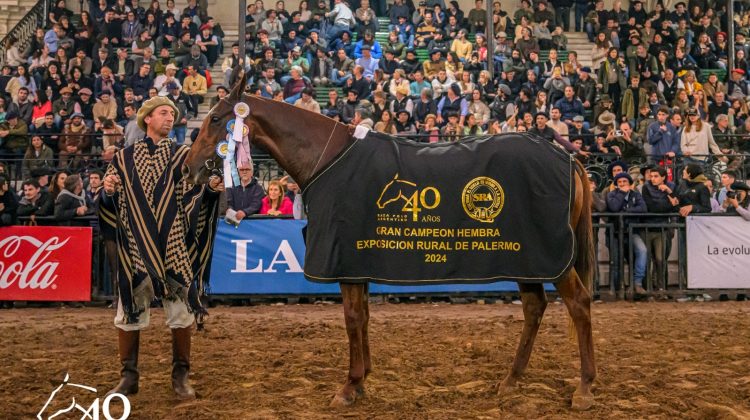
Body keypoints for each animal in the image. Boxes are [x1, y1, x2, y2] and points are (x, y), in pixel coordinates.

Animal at [184, 75, 600, 410]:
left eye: (216, 118)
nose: (190, 167)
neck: (326, 158)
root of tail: (568, 158)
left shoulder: (345, 260)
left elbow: (353, 318)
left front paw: (350, 386)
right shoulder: (358, 259)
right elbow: (363, 316)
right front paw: (363, 378)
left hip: (550, 259)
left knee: (578, 304)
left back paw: (584, 387)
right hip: (527, 258)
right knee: (534, 308)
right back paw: (511, 380)